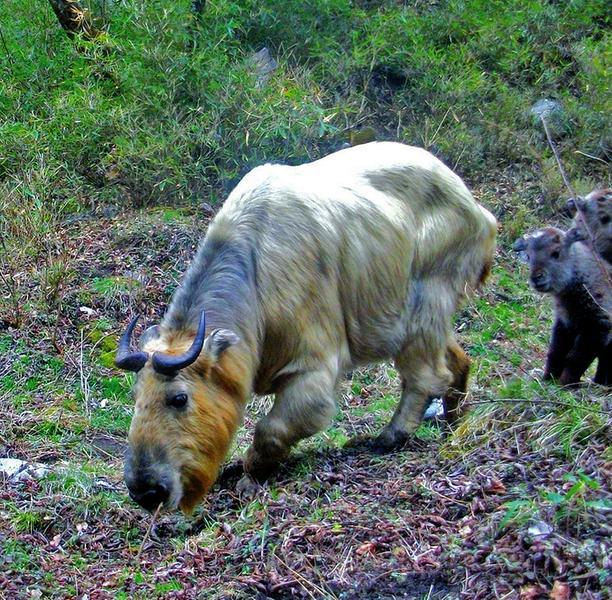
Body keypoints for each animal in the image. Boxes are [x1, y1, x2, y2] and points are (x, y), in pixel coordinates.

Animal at [512, 227, 608, 386]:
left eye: (556, 252)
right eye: (529, 255)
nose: (536, 278)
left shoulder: (597, 328)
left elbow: (576, 359)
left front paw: (566, 383)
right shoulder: (564, 323)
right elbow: (556, 352)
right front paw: (548, 378)